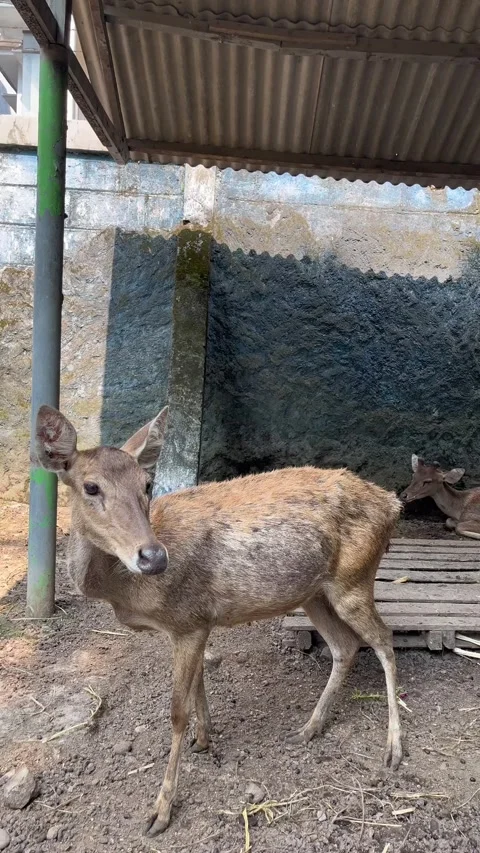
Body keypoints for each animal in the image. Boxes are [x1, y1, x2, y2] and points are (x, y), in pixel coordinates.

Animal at [34, 404, 403, 837]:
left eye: (147, 484)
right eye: (90, 487)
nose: (153, 557)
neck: (125, 590)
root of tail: (392, 504)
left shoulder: (189, 620)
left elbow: (177, 711)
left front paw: (160, 811)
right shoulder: (192, 622)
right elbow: (198, 685)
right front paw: (204, 739)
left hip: (353, 580)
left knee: (383, 639)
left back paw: (393, 749)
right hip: (313, 593)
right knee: (345, 645)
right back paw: (309, 728)